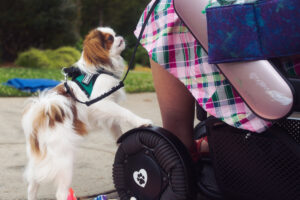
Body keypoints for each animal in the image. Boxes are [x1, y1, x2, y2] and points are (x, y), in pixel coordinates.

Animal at [22, 27, 152, 200]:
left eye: (114, 34)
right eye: (110, 39)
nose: (120, 37)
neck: (99, 69)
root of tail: (42, 116)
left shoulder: (108, 116)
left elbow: (117, 130)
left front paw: (121, 143)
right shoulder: (102, 103)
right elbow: (125, 112)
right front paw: (141, 122)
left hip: (38, 162)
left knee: (32, 187)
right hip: (64, 161)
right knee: (60, 192)